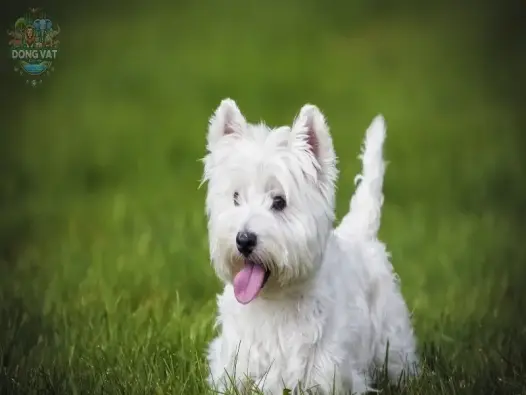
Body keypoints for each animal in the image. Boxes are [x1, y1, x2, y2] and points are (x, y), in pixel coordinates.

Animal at [203, 100, 420, 395]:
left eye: (279, 201)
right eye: (236, 197)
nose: (244, 240)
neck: (273, 302)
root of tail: (360, 231)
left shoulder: (326, 374)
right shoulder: (233, 367)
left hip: (392, 335)